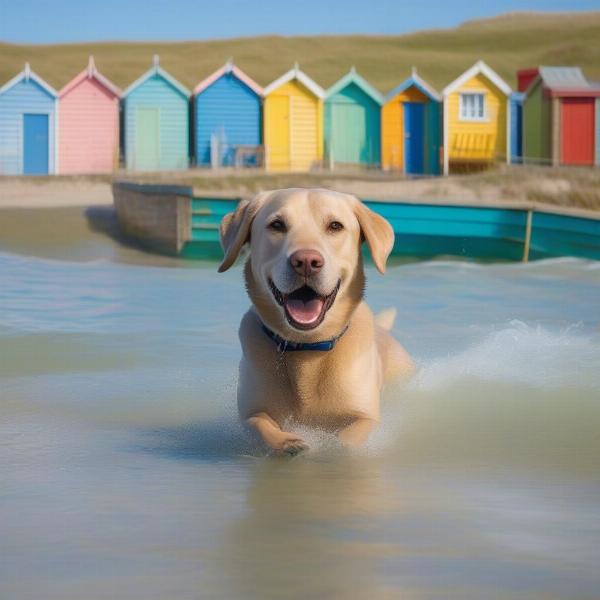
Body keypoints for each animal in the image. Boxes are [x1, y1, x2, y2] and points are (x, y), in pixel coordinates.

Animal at [218, 190, 414, 452]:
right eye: (277, 225)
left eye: (335, 226)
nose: (306, 262)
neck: (308, 348)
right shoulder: (252, 412)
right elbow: (259, 424)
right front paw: (288, 441)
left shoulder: (366, 417)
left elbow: (350, 437)